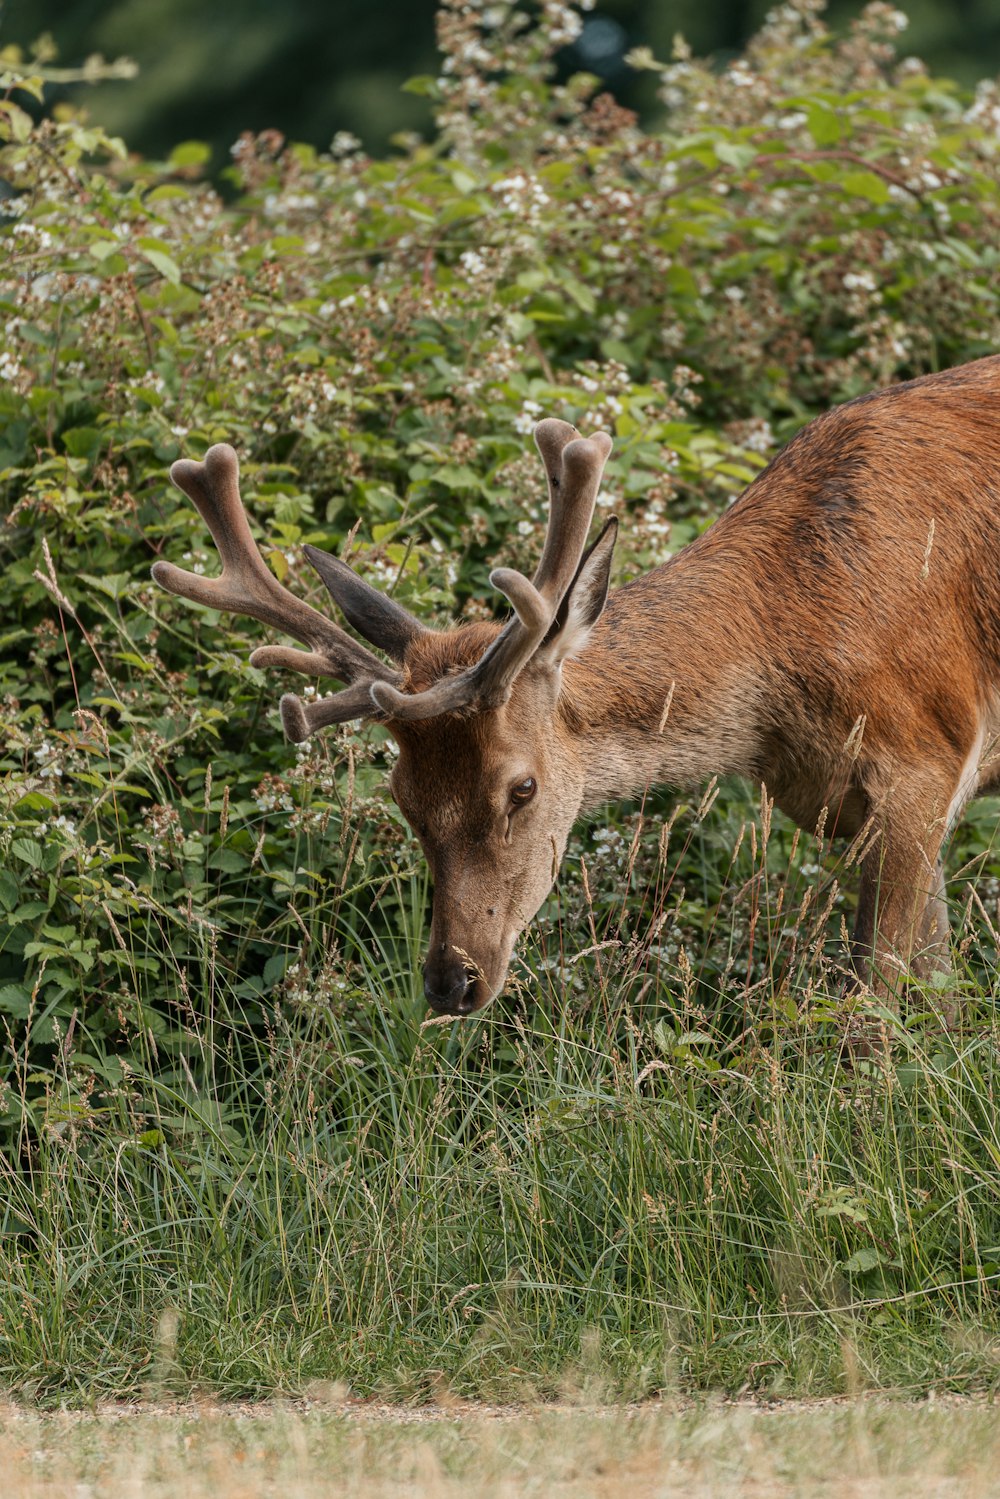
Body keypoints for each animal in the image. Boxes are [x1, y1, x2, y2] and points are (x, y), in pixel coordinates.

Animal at [150, 356, 1000, 1025]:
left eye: (521, 788)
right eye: (402, 796)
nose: (452, 980)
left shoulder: (921, 762)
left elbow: (876, 1009)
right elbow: (938, 993)